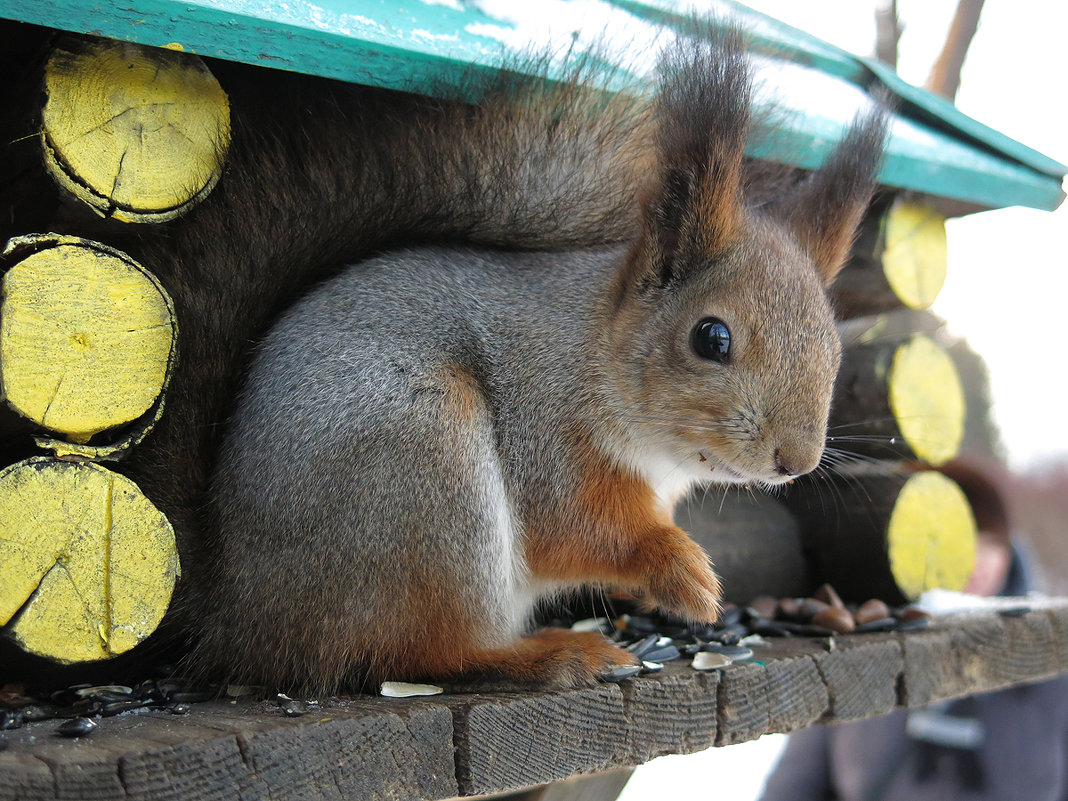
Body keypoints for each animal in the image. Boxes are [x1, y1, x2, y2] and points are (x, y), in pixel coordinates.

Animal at [101, 23, 884, 692]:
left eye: (834, 345)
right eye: (711, 338)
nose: (795, 460)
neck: (596, 354)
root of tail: (240, 608)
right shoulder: (546, 427)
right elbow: (575, 525)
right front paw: (683, 573)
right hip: (421, 473)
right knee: (420, 653)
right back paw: (550, 654)